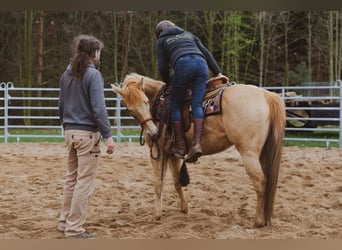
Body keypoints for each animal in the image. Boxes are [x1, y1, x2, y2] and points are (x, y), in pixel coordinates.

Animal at [111, 72, 286, 227]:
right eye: (130, 110)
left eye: (146, 101)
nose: (153, 133)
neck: (158, 103)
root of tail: (266, 95)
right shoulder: (172, 153)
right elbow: (176, 181)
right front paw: (184, 208)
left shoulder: (158, 152)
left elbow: (158, 183)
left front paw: (156, 215)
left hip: (248, 152)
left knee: (260, 181)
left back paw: (258, 221)